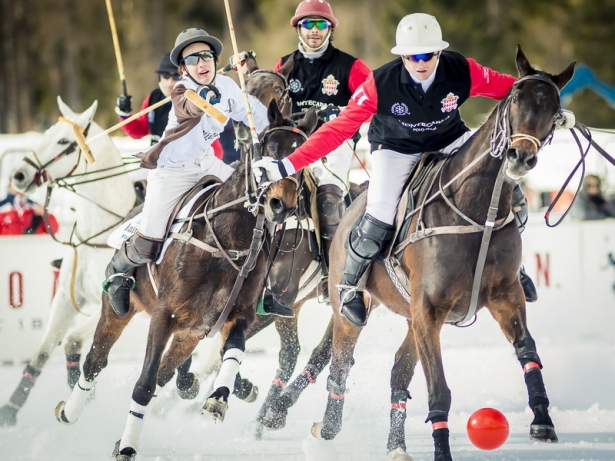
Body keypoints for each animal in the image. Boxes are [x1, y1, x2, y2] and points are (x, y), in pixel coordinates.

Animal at [0, 97, 137, 424]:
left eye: (64, 142)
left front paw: (81, 392)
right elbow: (42, 351)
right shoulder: (64, 297)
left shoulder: (116, 304)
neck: (102, 232)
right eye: (47, 132)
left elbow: (74, 339)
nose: (18, 175)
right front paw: (10, 409)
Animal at [53, 100, 318, 460]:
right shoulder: (165, 315)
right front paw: (128, 449)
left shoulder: (237, 315)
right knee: (96, 360)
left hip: (188, 335)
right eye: (269, 148)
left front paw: (219, 399)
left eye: (302, 156)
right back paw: (70, 412)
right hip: (118, 309)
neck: (229, 241)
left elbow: (233, 350)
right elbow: (144, 383)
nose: (281, 205)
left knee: (164, 372)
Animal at [312, 47, 576, 460]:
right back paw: (329, 427)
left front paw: (542, 420)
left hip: (411, 318)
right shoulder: (430, 310)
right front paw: (441, 452)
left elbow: (527, 349)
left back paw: (396, 445)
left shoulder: (504, 295)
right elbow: (439, 389)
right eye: (516, 98)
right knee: (340, 364)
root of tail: (351, 205)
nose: (520, 156)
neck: (476, 210)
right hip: (354, 309)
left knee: (398, 372)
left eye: (555, 109)